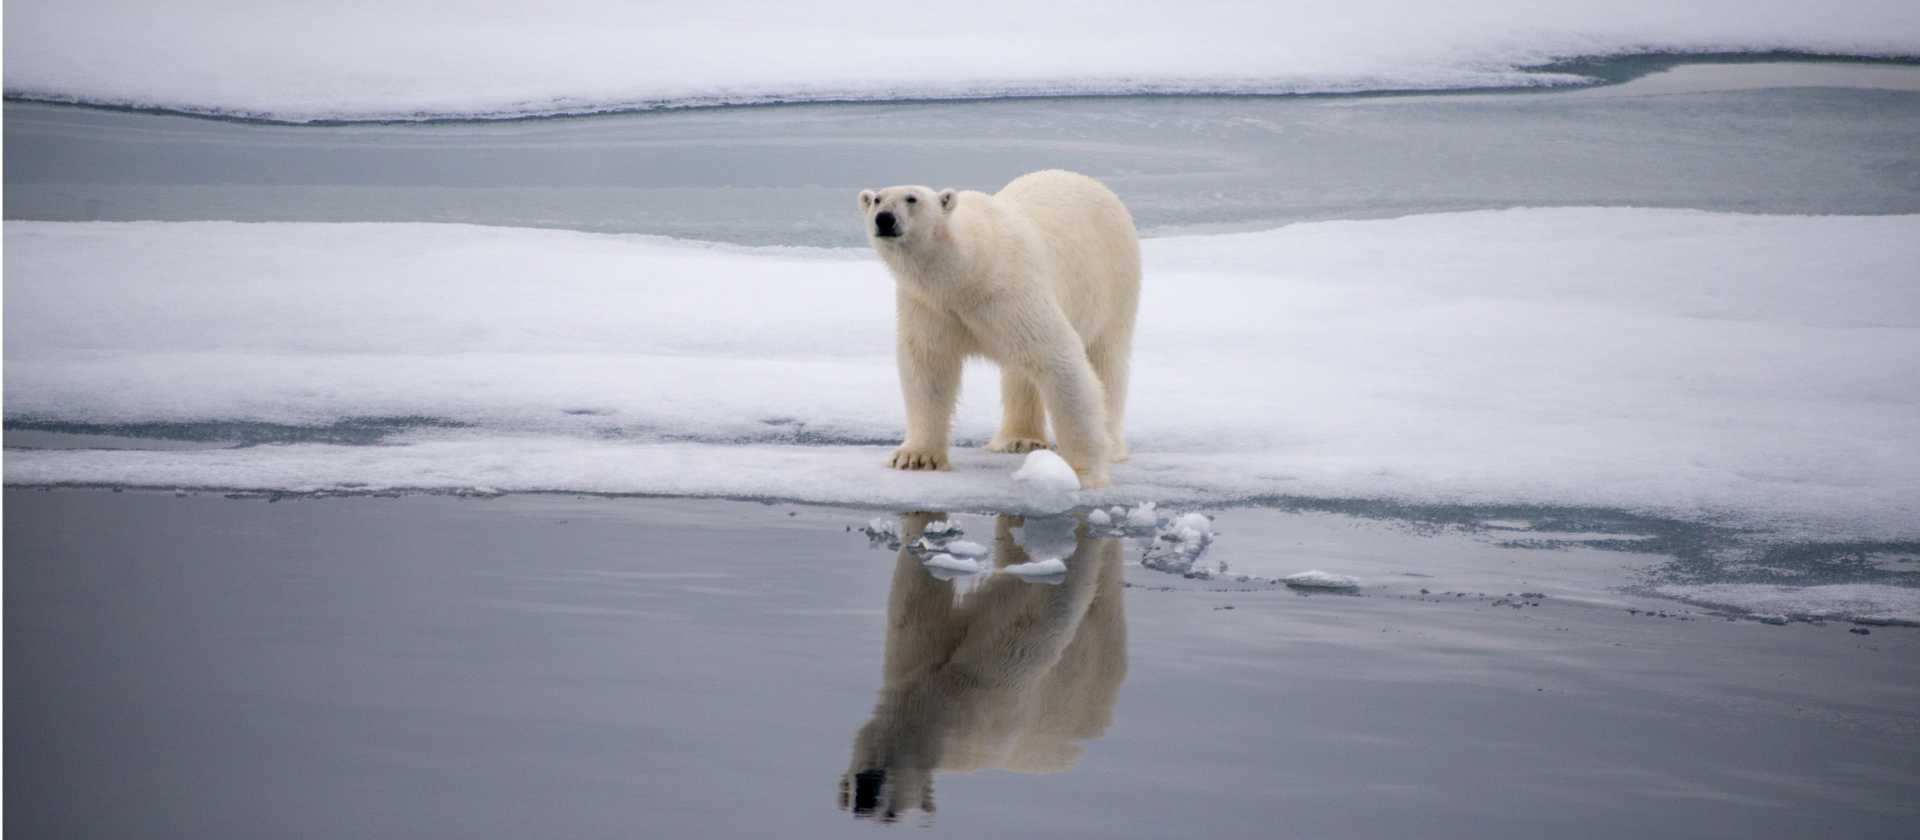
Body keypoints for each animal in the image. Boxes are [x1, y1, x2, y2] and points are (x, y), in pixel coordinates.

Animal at [839, 512, 1128, 822]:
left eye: (891, 814)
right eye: (850, 792)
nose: (866, 795)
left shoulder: (994, 693)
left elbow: (1041, 608)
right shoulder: (918, 658)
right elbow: (914, 601)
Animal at [860, 169, 1141, 489]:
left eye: (912, 198)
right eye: (877, 199)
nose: (884, 219)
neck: (967, 272)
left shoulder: (1010, 291)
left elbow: (1058, 359)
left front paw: (1082, 473)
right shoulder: (929, 305)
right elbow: (928, 366)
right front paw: (915, 458)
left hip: (1114, 280)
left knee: (1107, 359)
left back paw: (1113, 446)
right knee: (1020, 373)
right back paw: (1018, 440)